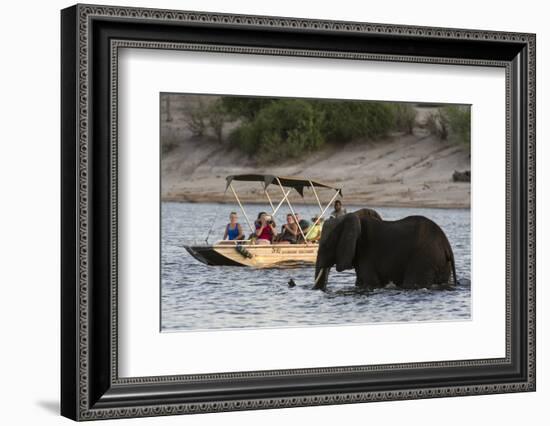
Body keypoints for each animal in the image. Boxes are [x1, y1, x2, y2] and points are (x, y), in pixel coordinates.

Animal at [312, 209, 460, 292]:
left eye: (325, 246)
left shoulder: (366, 252)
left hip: (425, 258)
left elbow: (369, 282)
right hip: (440, 262)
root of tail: (447, 245)